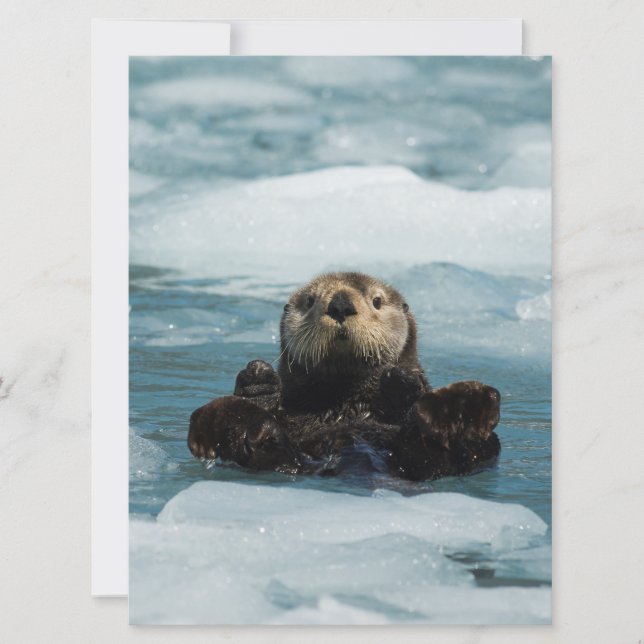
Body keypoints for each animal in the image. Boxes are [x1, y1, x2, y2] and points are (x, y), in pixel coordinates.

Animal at [188, 272, 501, 481]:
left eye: (377, 301)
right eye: (310, 300)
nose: (340, 304)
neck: (347, 404)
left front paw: (400, 380)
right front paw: (258, 382)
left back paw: (457, 409)